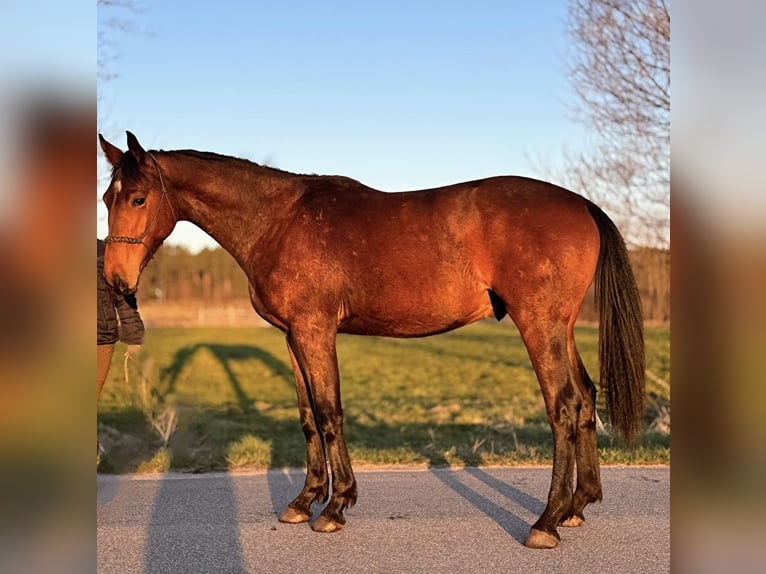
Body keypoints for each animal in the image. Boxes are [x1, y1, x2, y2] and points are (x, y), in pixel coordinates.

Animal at [99, 132, 644, 549]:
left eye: (139, 198)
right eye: (108, 199)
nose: (117, 280)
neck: (277, 220)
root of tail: (580, 203)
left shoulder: (316, 330)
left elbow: (329, 412)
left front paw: (335, 507)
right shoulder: (292, 337)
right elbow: (307, 416)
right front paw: (305, 501)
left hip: (539, 325)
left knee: (564, 405)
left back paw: (546, 522)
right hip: (561, 328)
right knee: (585, 398)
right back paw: (577, 506)